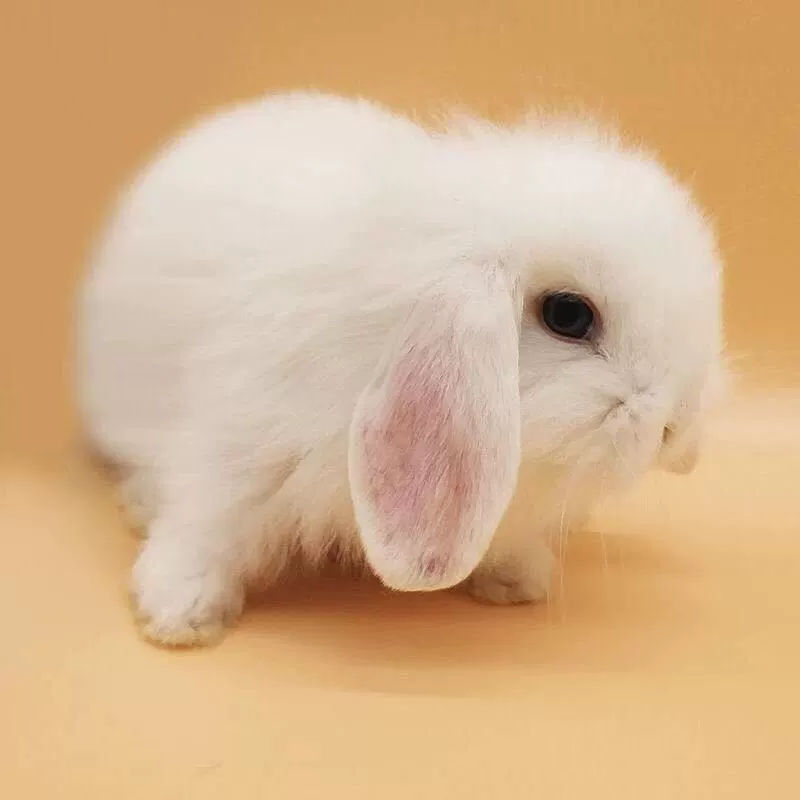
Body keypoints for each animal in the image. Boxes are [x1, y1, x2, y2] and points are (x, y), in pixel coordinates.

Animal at [76, 91, 724, 646]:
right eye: (568, 314)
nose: (680, 434)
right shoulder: (238, 447)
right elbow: (204, 525)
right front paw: (179, 614)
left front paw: (518, 580)